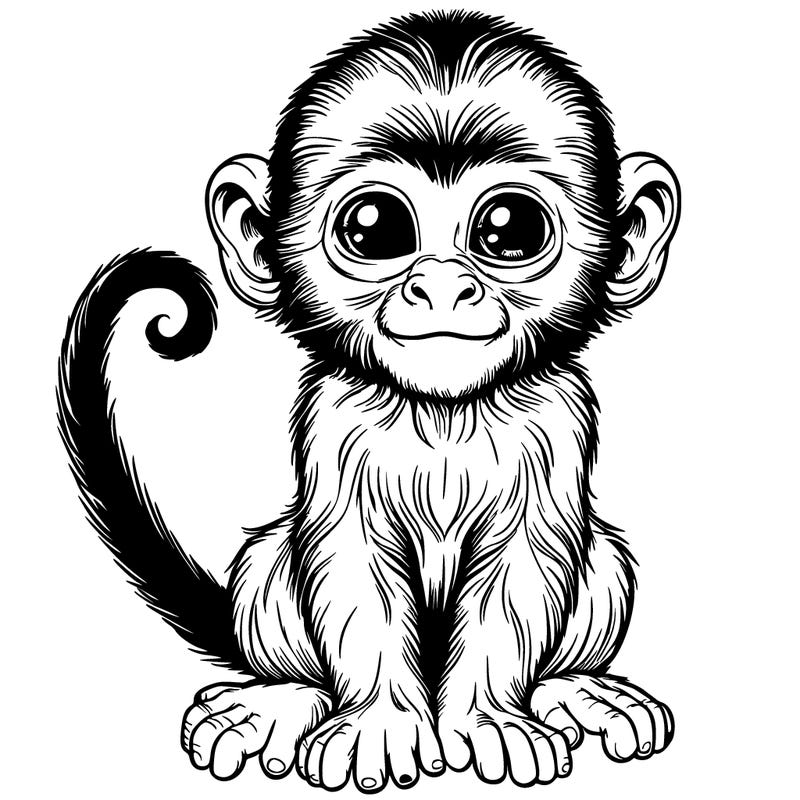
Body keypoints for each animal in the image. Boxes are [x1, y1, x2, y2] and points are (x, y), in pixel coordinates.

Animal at [58, 10, 680, 793]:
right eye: (376, 228)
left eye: (509, 229)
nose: (442, 284)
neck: (445, 412)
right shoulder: (335, 420)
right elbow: (352, 558)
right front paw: (379, 722)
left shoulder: (559, 419)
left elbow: (523, 560)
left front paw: (488, 716)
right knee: (274, 563)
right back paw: (283, 699)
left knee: (600, 560)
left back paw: (574, 689)